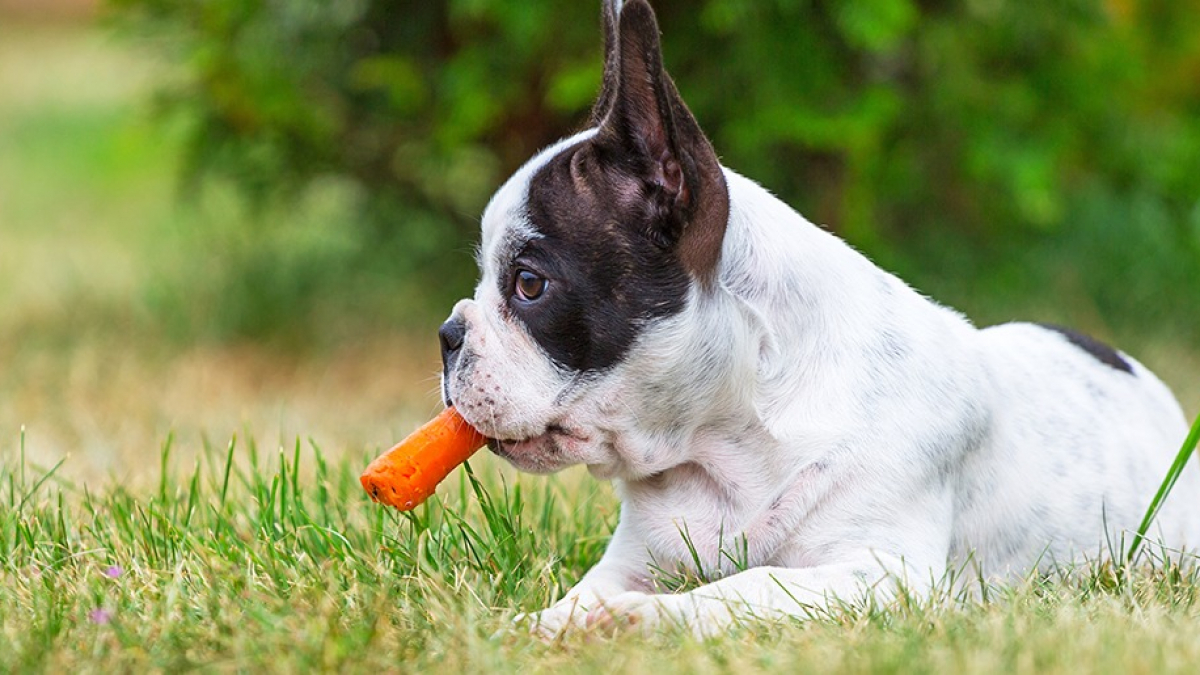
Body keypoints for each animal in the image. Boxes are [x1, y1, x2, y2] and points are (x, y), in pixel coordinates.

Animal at [436, 0, 1195, 634]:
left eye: (529, 285)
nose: (447, 335)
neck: (723, 445)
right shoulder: (631, 559)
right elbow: (582, 594)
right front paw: (542, 625)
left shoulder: (881, 573)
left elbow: (745, 585)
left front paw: (644, 618)